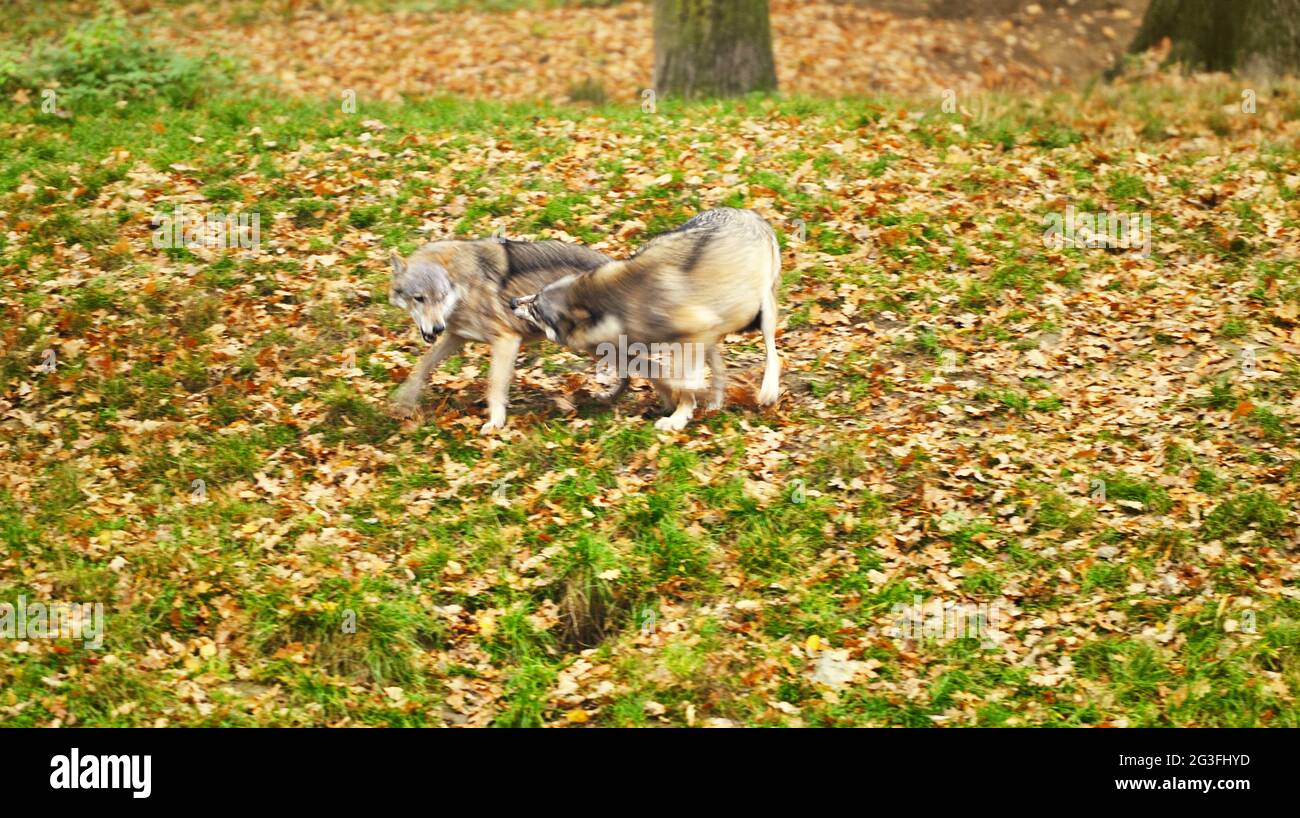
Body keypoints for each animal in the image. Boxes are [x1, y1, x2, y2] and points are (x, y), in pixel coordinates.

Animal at [388, 237, 622, 432]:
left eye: (442, 296)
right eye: (419, 298)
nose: (437, 328)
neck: (464, 287)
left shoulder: (506, 340)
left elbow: (495, 386)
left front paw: (495, 423)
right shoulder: (456, 337)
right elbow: (421, 368)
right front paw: (404, 403)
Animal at [510, 208, 782, 431]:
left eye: (535, 308)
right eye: (533, 297)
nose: (512, 302)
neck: (617, 308)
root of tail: (749, 213)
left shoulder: (695, 335)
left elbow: (682, 382)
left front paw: (677, 417)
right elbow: (653, 374)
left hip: (762, 311)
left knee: (772, 350)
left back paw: (768, 391)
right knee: (721, 367)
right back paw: (715, 403)